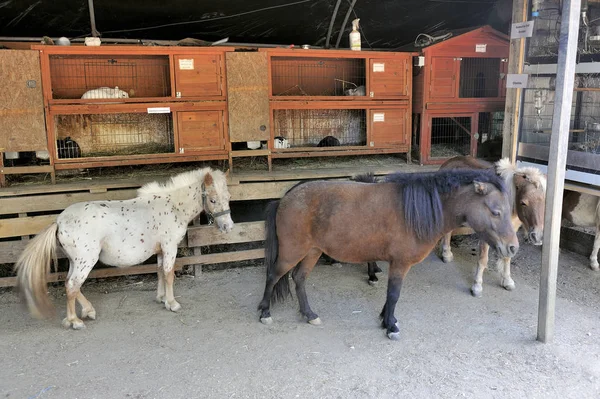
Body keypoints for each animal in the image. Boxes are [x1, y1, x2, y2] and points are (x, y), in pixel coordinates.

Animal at [13, 167, 234, 330]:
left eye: (229, 197)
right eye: (213, 199)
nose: (228, 227)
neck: (172, 206)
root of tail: (59, 221)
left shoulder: (160, 251)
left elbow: (159, 272)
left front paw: (161, 298)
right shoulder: (170, 247)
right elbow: (169, 274)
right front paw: (172, 303)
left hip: (75, 262)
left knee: (70, 284)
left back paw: (86, 312)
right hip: (86, 261)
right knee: (72, 286)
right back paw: (75, 321)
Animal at [255, 169, 516, 340]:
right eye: (495, 211)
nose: (513, 248)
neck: (412, 212)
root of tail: (286, 198)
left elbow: (390, 296)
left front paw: (385, 319)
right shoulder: (400, 264)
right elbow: (394, 294)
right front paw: (390, 326)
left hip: (312, 252)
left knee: (299, 279)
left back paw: (309, 314)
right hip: (292, 252)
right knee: (273, 276)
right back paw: (265, 312)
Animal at [438, 156, 548, 296]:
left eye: (545, 202)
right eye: (524, 203)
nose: (538, 237)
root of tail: (449, 162)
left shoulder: (510, 235)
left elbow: (507, 257)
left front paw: (507, 281)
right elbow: (483, 259)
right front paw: (477, 286)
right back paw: (446, 254)